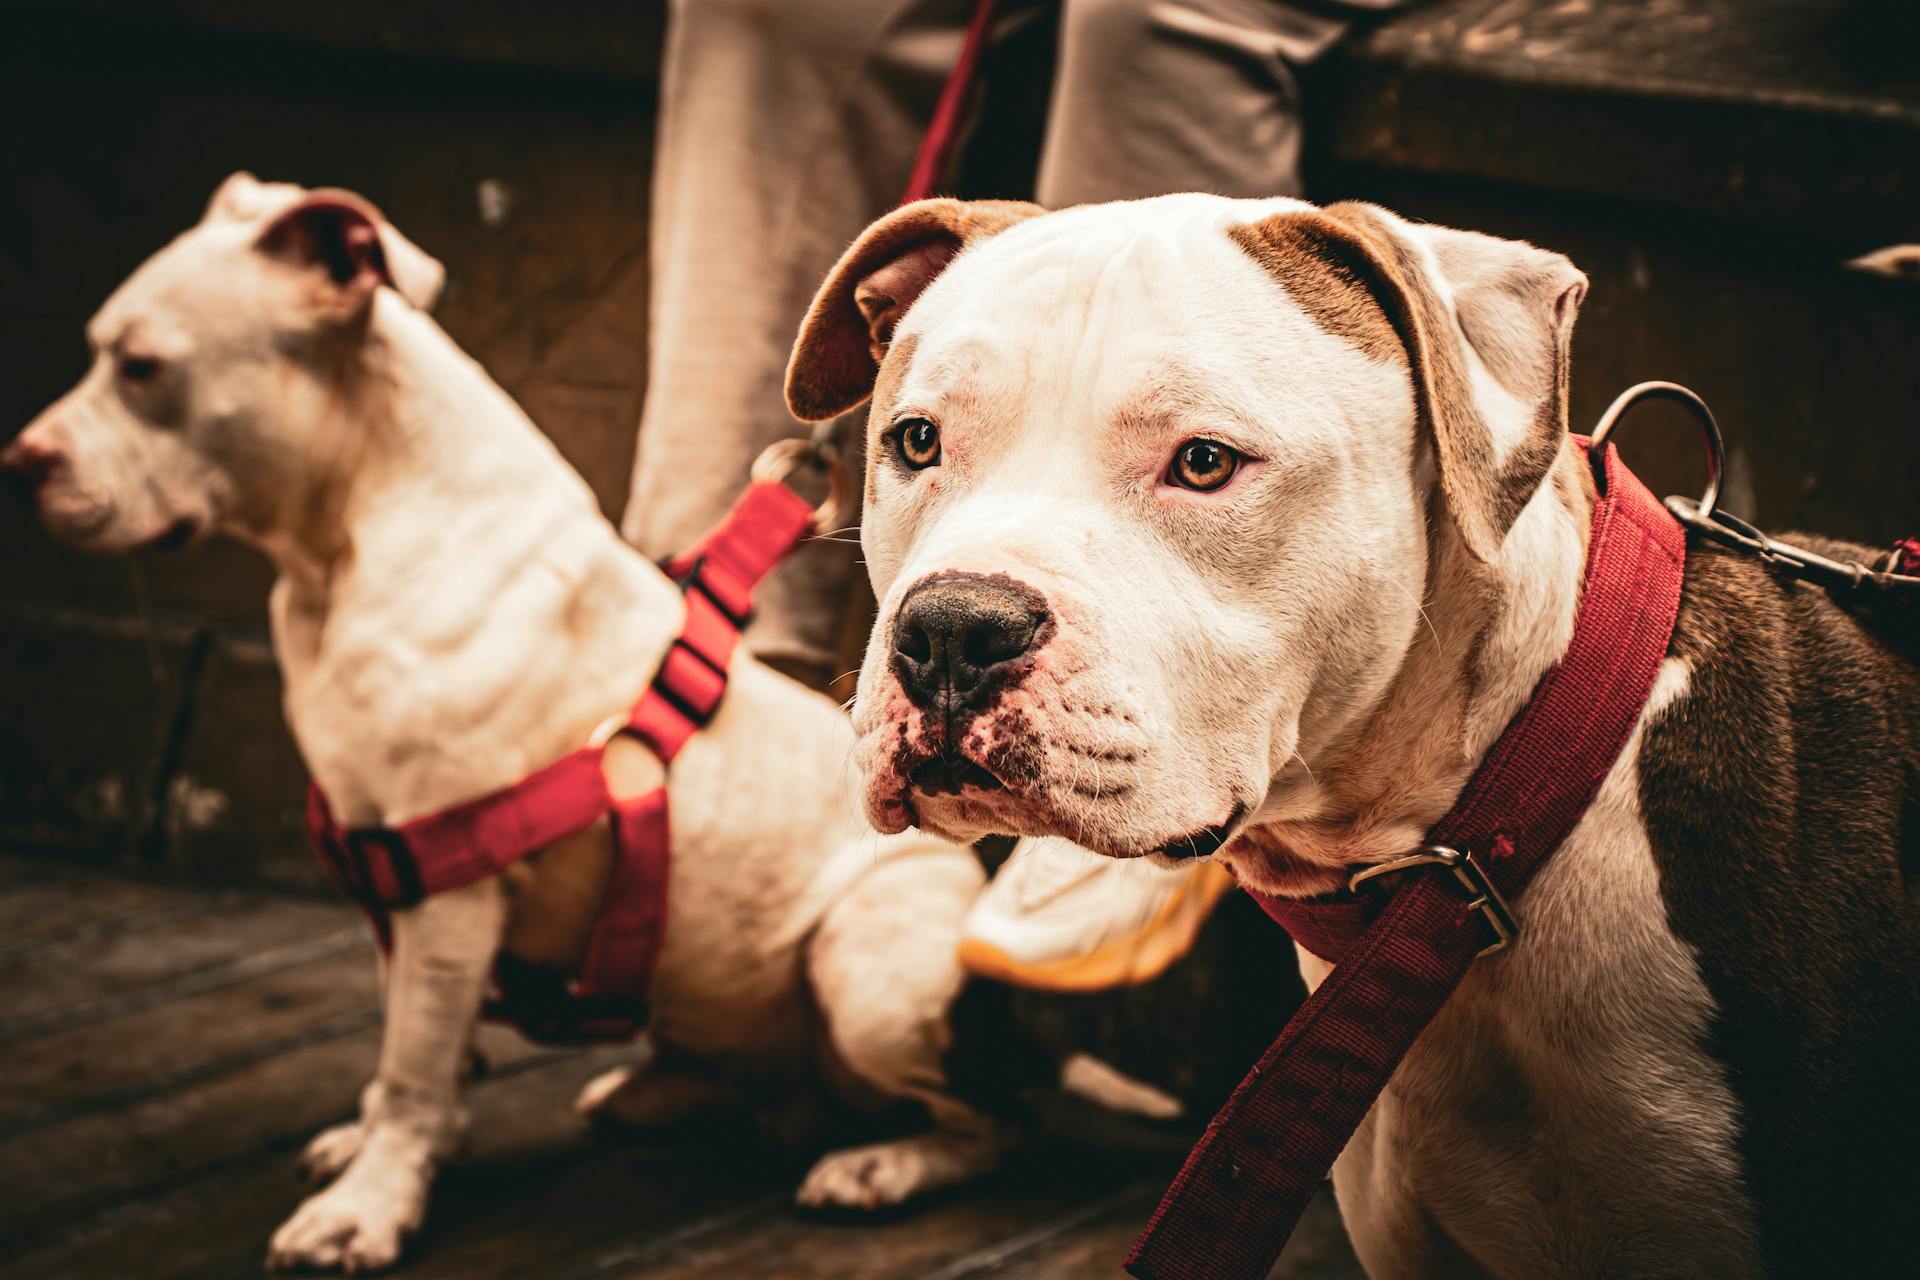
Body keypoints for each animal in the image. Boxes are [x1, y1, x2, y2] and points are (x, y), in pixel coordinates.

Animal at [0, 175, 1013, 1274]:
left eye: (144, 368)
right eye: (99, 349)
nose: (17, 463)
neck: (343, 543)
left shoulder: (448, 890)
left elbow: (414, 1059)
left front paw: (369, 1205)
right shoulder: (397, 874)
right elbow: (415, 1046)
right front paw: (384, 1146)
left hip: (863, 969)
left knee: (985, 1123)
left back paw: (881, 1164)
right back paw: (665, 1092)